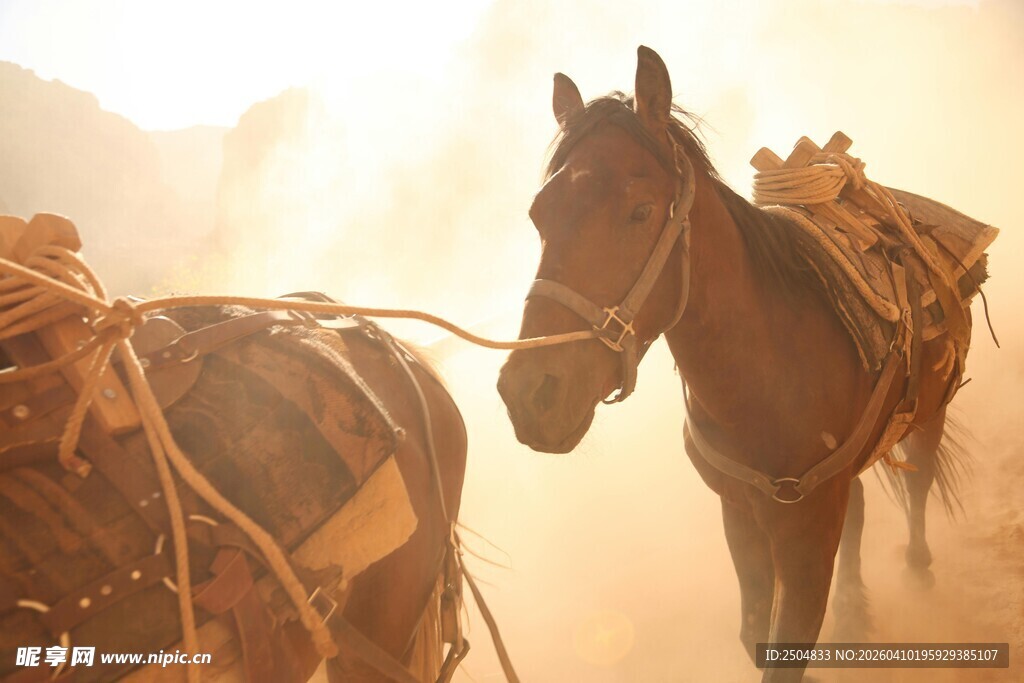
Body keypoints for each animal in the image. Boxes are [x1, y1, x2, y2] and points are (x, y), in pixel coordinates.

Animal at [497, 47, 985, 682]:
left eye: (641, 211)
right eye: (539, 214)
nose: (529, 394)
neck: (766, 376)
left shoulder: (803, 532)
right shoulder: (741, 514)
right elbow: (755, 631)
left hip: (929, 413)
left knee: (920, 480)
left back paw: (918, 567)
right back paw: (854, 613)